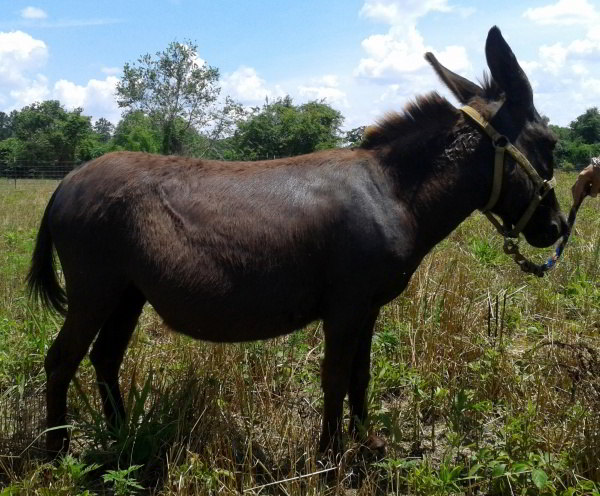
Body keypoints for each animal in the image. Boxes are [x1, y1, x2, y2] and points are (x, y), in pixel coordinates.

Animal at [28, 26, 567, 457]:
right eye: (551, 143)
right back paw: (58, 452)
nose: (557, 229)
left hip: (127, 293)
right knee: (61, 359)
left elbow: (360, 376)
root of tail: (67, 181)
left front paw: (367, 445)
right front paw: (329, 458)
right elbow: (334, 377)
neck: (391, 191)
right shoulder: (346, 306)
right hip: (95, 289)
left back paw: (122, 437)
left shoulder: (368, 307)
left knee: (105, 358)